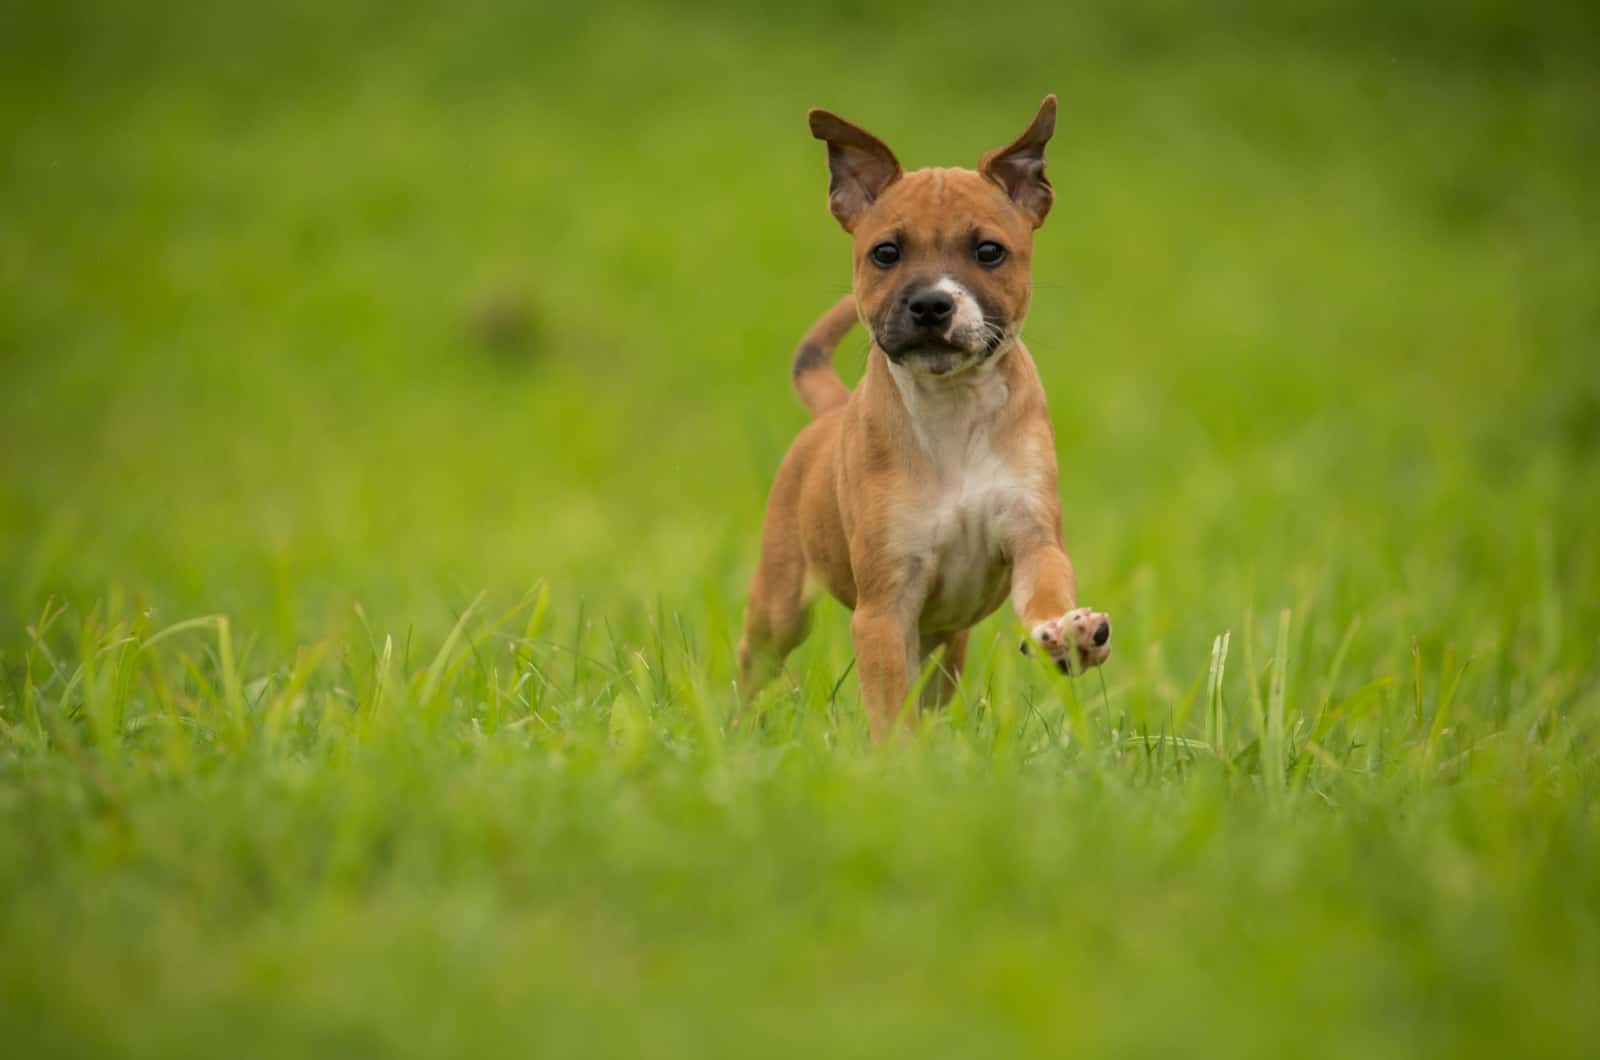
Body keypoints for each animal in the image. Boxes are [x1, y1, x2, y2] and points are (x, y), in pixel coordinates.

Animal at [739, 97, 1107, 746]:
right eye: (886, 253)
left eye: (989, 251)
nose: (932, 304)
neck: (951, 411)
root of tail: (831, 409)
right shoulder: (884, 608)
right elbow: (891, 713)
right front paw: (900, 765)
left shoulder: (1031, 535)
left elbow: (1046, 586)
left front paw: (1068, 632)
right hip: (780, 606)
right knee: (751, 665)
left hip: (945, 640)